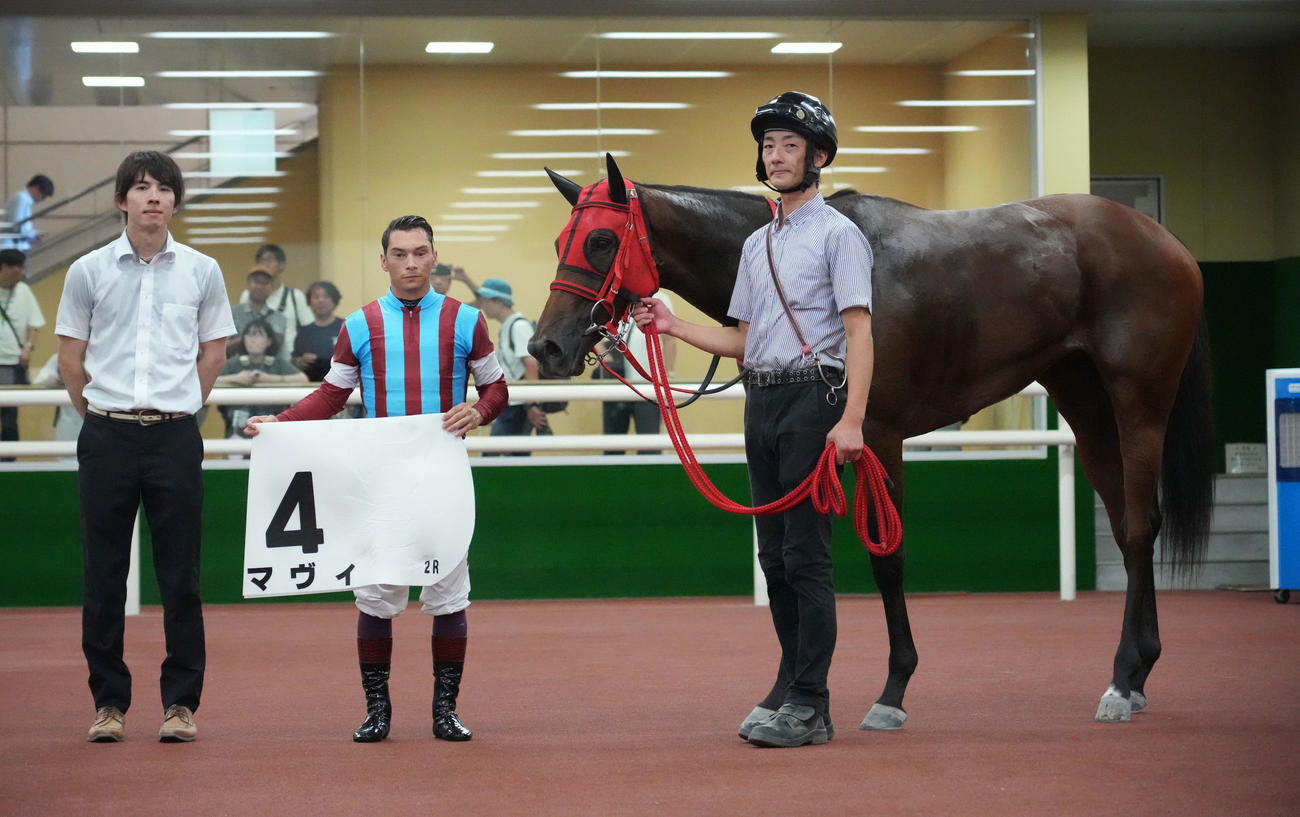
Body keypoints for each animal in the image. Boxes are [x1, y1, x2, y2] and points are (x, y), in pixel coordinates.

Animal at [529, 153, 1214, 728]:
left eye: (601, 240)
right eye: (561, 241)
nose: (546, 347)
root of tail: (1167, 242)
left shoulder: (876, 436)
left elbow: (887, 558)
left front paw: (892, 691)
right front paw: (790, 696)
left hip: (1138, 401)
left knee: (1139, 527)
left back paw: (1122, 681)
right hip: (1083, 401)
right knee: (1127, 525)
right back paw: (1138, 672)